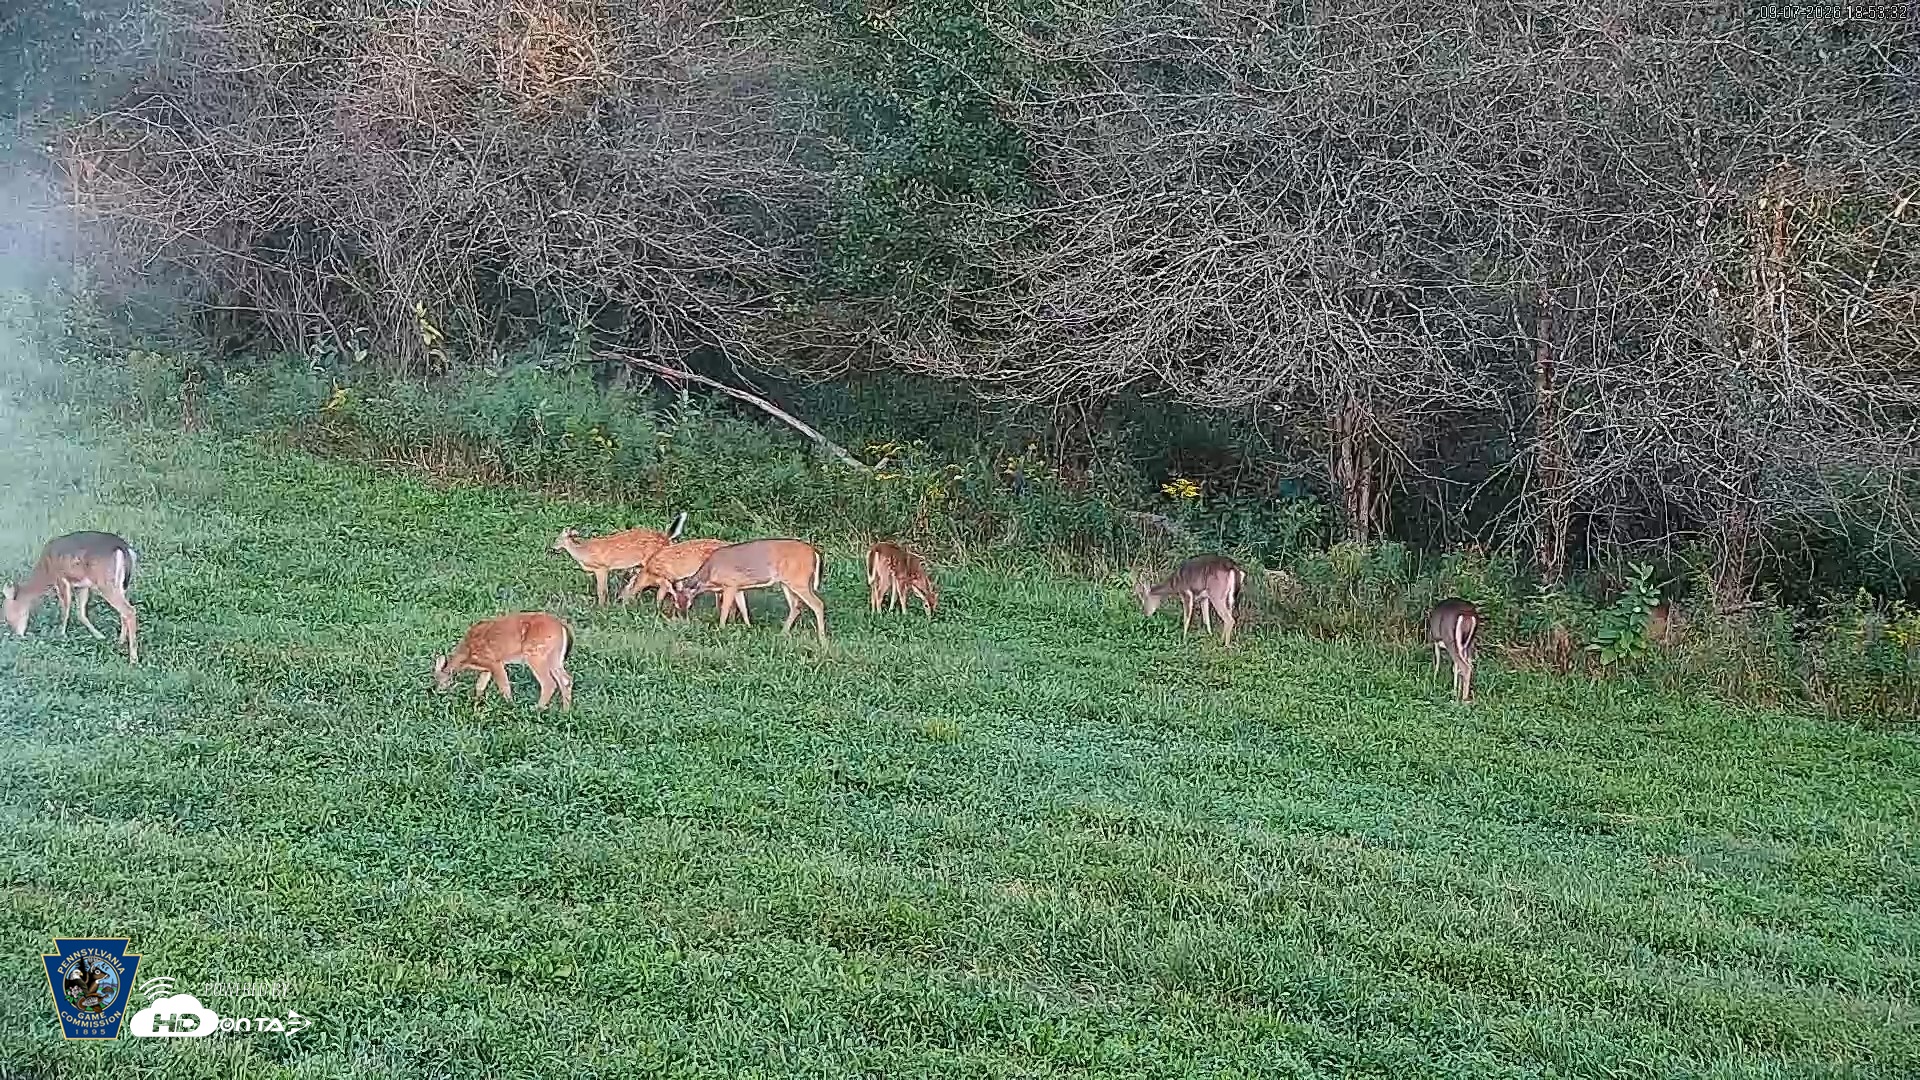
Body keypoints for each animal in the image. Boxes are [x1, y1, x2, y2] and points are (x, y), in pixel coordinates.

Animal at [3, 531, 140, 664]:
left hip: (104, 582)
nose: (16, 635)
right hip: (122, 584)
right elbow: (81, 614)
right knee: (123, 611)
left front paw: (61, 636)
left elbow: (65, 610)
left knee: (129, 610)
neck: (46, 572)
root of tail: (124, 548)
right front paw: (100, 636)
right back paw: (120, 642)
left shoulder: (60, 579)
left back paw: (133, 659)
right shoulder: (82, 586)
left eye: (8, 615)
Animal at [433, 611, 574, 710]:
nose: (437, 692)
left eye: (438, 679)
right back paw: (565, 711)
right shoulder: (487, 668)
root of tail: (563, 627)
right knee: (566, 680)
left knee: (549, 683)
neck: (466, 655)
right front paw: (475, 704)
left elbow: (504, 687)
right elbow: (480, 686)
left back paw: (537, 709)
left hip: (536, 654)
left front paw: (509, 706)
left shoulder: (494, 661)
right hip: (554, 656)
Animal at [552, 510, 686, 605]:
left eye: (557, 539)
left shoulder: (602, 568)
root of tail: (667, 538)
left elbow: (602, 591)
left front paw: (602, 607)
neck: (584, 552)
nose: (553, 547)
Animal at [666, 538, 827, 645]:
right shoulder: (739, 587)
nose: (683, 618)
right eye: (675, 603)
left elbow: (725, 609)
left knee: (818, 604)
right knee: (796, 607)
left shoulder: (730, 584)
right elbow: (743, 608)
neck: (710, 574)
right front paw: (749, 627)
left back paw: (822, 639)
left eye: (688, 602)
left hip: (799, 580)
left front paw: (721, 629)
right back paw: (782, 633)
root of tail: (815, 553)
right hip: (787, 583)